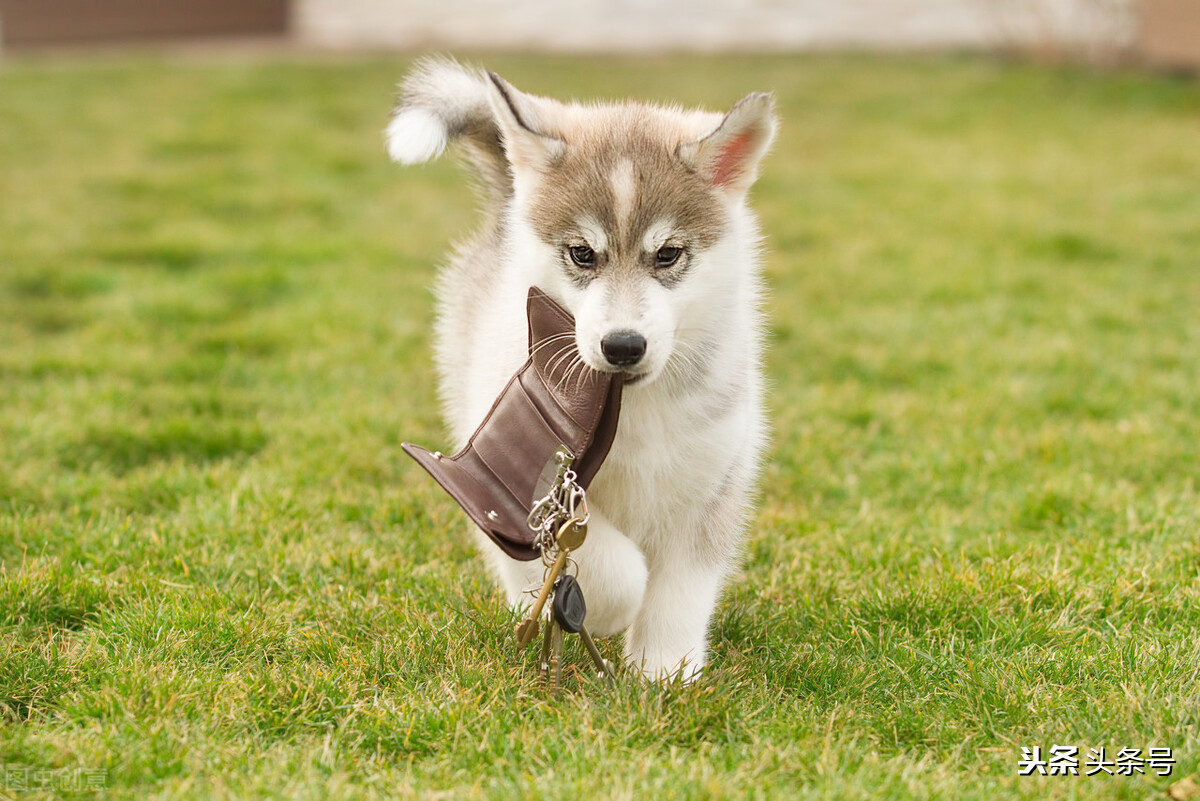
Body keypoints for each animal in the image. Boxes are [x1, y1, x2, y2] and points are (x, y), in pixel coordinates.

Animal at [386, 57, 777, 681]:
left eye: (667, 254)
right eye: (582, 254)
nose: (622, 346)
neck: (635, 409)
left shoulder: (710, 481)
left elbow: (680, 591)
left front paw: (664, 671)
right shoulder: (545, 500)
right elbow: (610, 567)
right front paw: (601, 612)